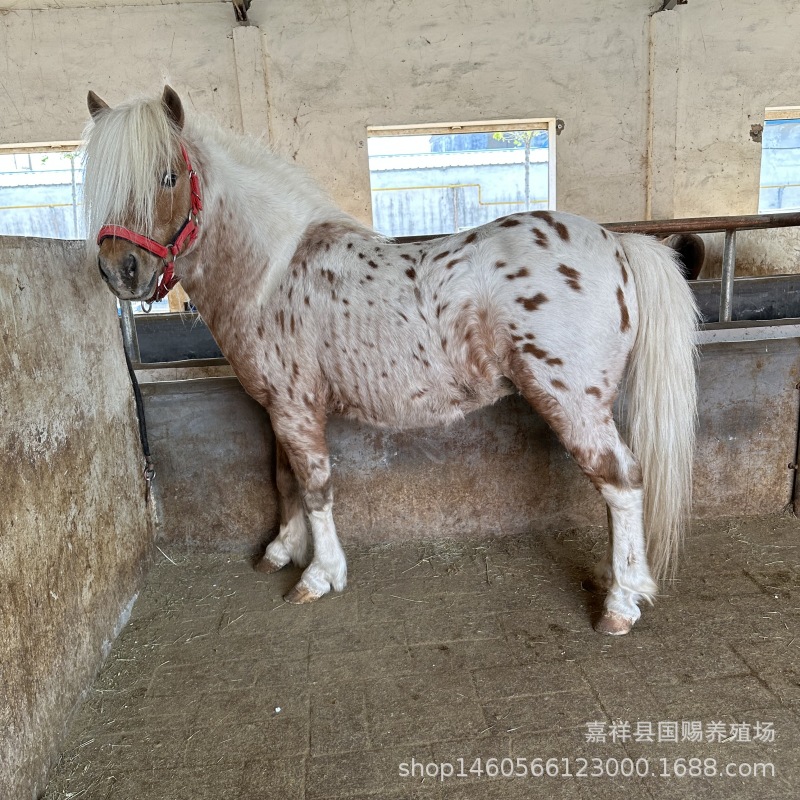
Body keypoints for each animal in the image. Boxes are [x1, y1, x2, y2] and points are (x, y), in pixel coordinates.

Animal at [82, 86, 699, 635]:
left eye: (168, 176)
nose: (120, 270)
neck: (271, 274)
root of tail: (617, 245)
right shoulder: (281, 408)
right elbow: (284, 480)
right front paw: (282, 549)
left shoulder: (296, 409)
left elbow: (315, 486)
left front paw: (319, 575)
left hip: (573, 404)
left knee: (621, 483)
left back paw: (621, 603)